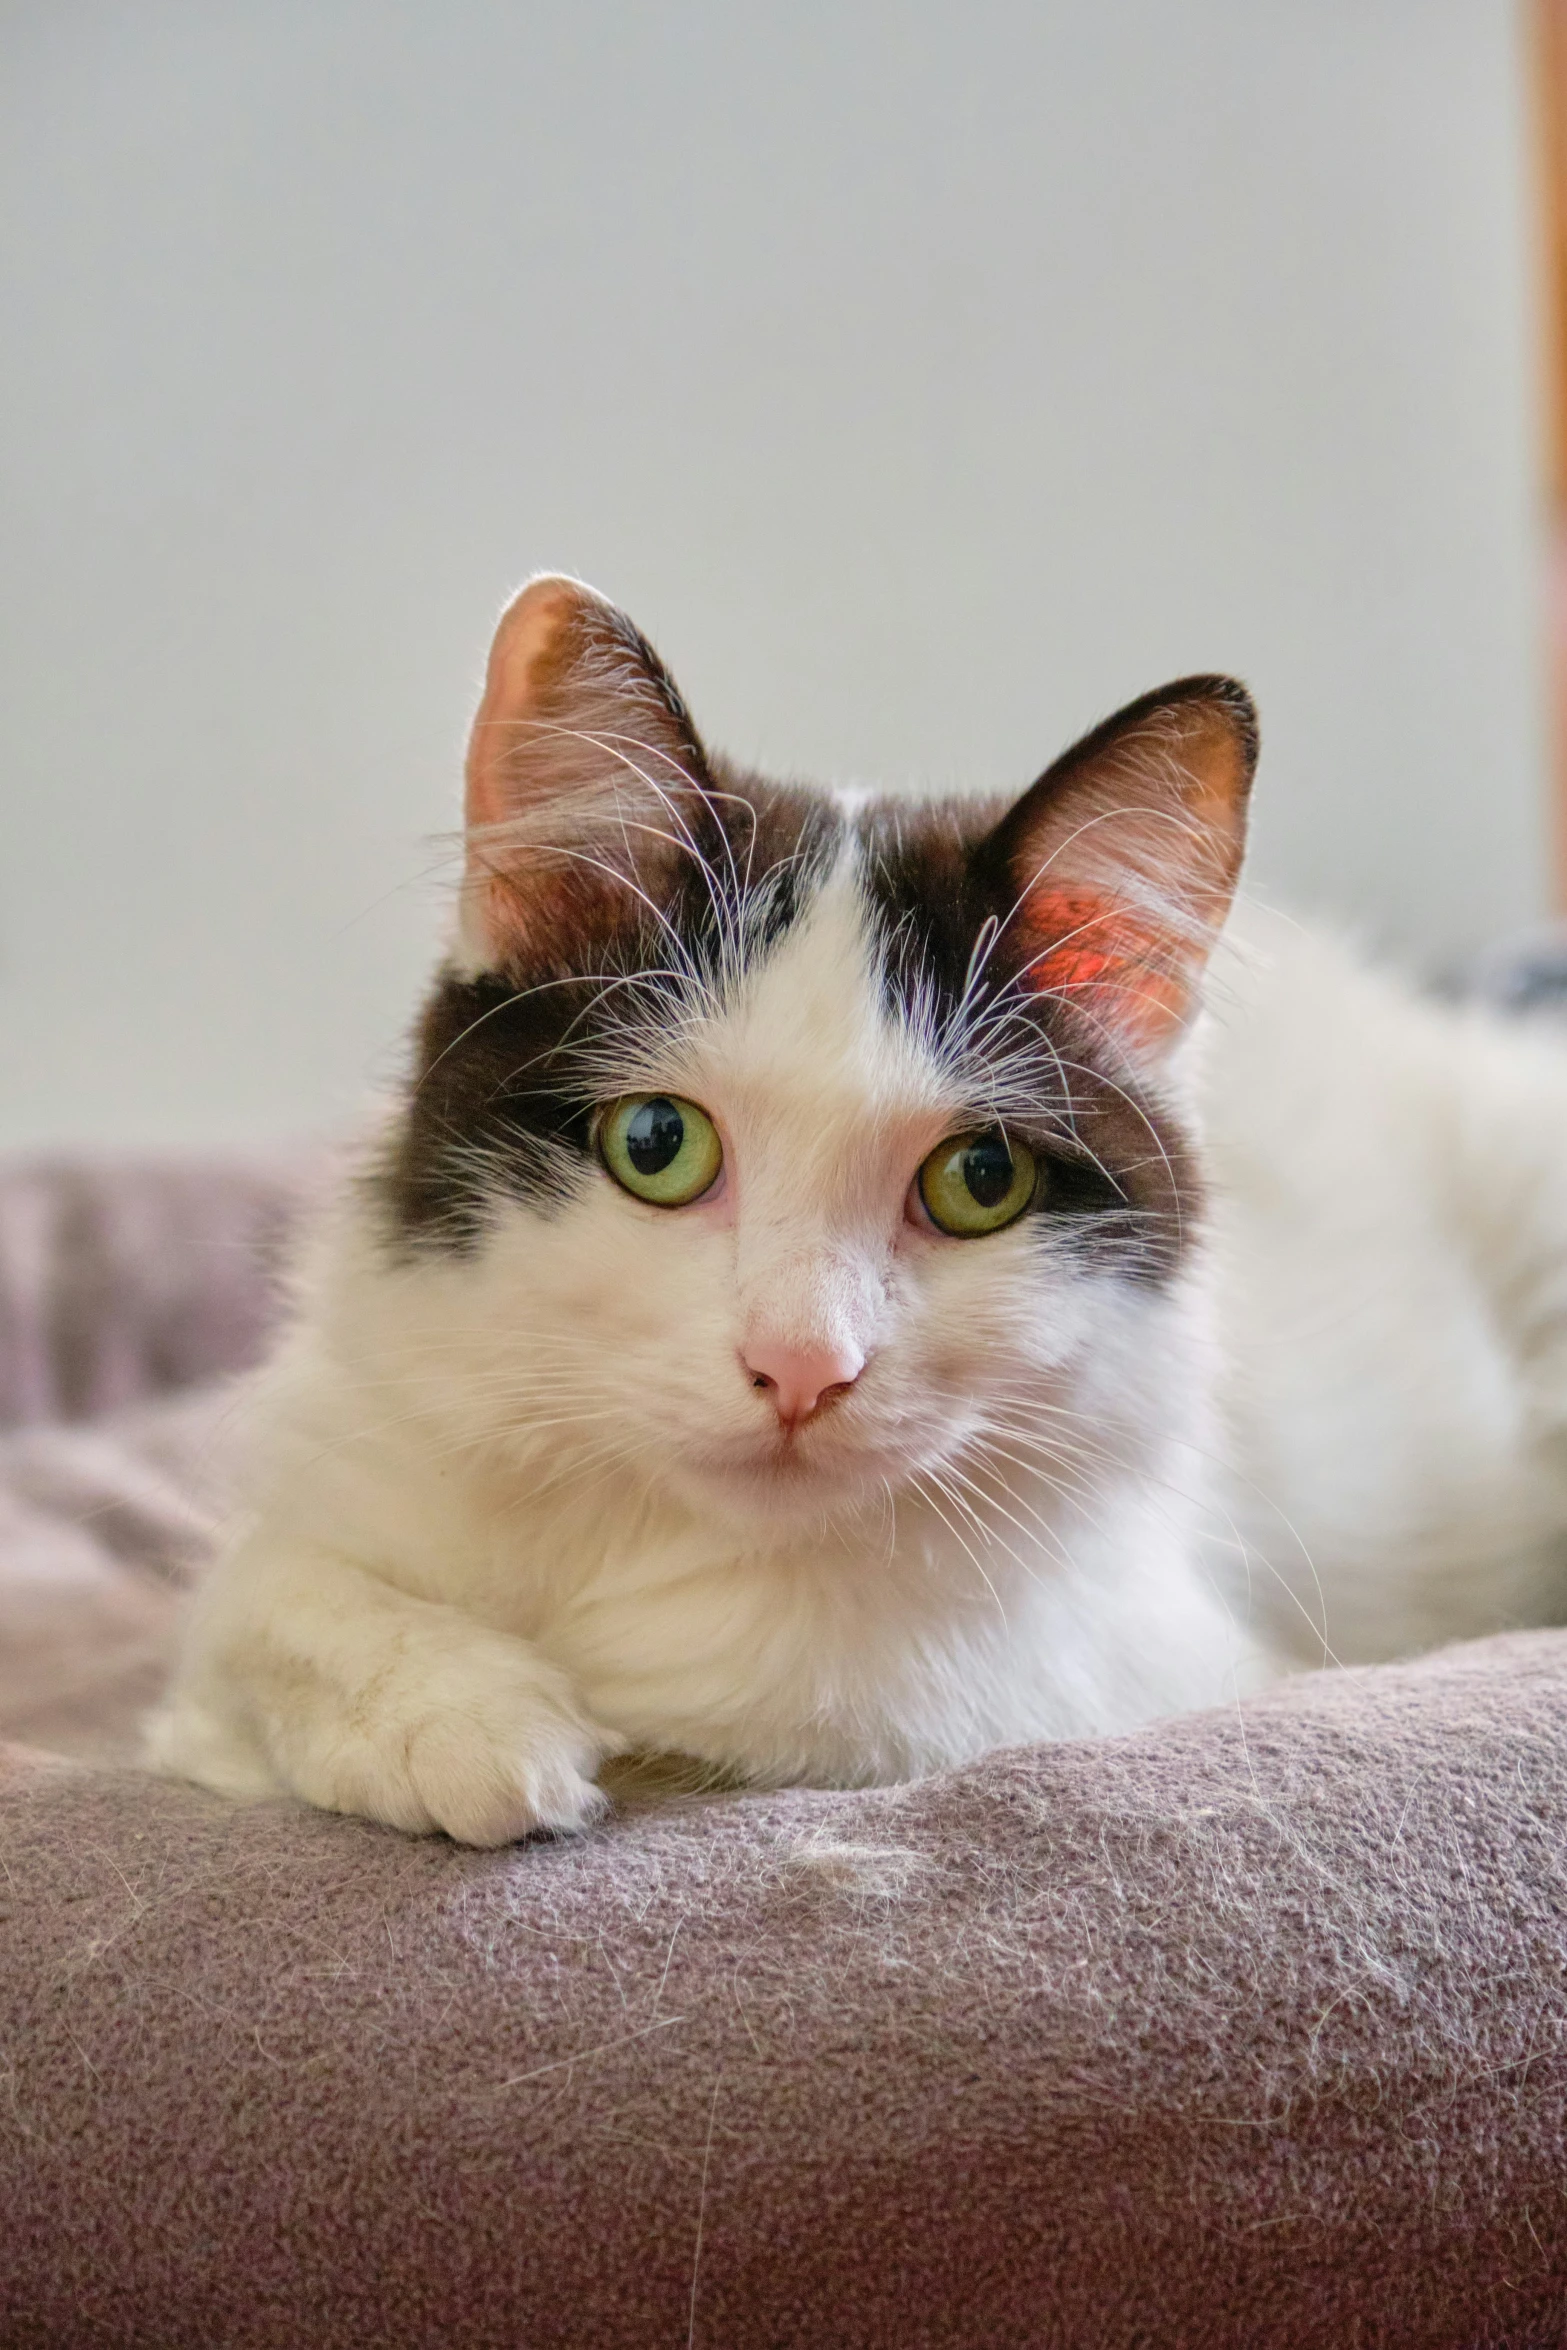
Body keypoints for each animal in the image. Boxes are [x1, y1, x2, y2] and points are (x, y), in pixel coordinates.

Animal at [150, 568, 1567, 1832]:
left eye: (980, 1180)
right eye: (656, 1142)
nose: (800, 1367)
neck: (642, 1530)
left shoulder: (1106, 1646)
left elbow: (791, 1703)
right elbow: (256, 1603)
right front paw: (452, 1717)